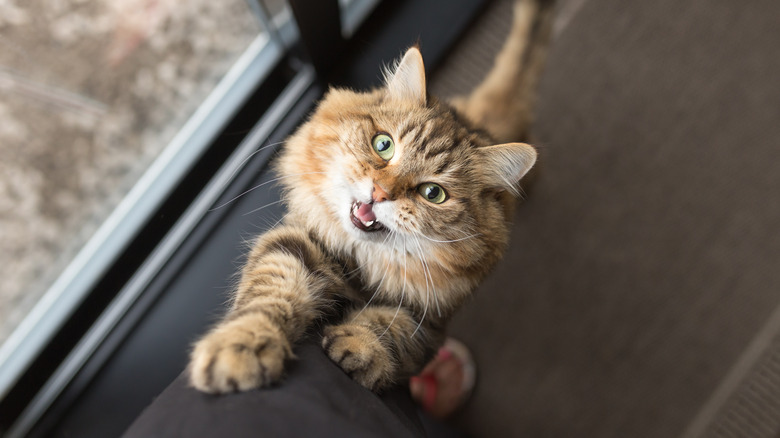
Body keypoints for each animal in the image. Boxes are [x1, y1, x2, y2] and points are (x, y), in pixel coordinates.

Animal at [189, 0, 556, 394]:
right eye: (384, 145)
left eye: (433, 193)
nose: (381, 193)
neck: (360, 265)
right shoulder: (297, 242)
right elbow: (271, 292)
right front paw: (242, 347)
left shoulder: (429, 321)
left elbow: (388, 328)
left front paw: (358, 346)